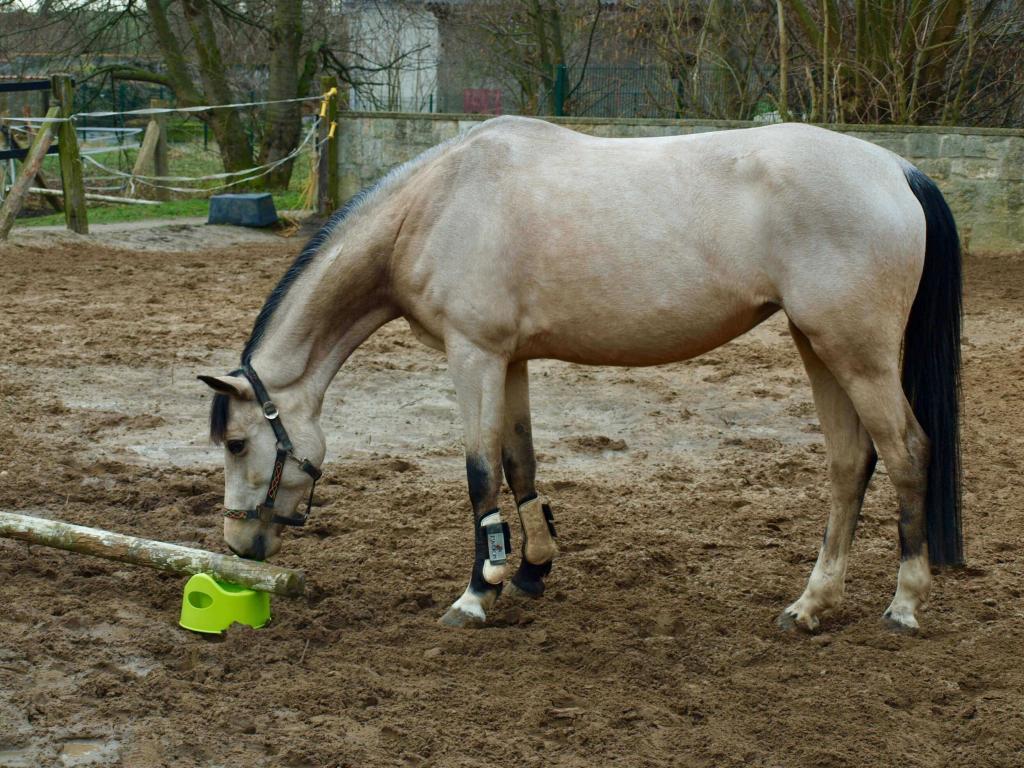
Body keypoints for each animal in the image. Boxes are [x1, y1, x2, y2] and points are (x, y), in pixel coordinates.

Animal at [197, 117, 958, 634]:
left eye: (236, 443)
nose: (241, 547)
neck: (437, 203)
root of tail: (897, 168)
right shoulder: (510, 359)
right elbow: (520, 466)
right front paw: (532, 569)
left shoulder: (473, 354)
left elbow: (479, 475)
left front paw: (476, 593)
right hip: (817, 344)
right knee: (850, 463)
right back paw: (810, 604)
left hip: (855, 352)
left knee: (907, 454)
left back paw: (904, 603)